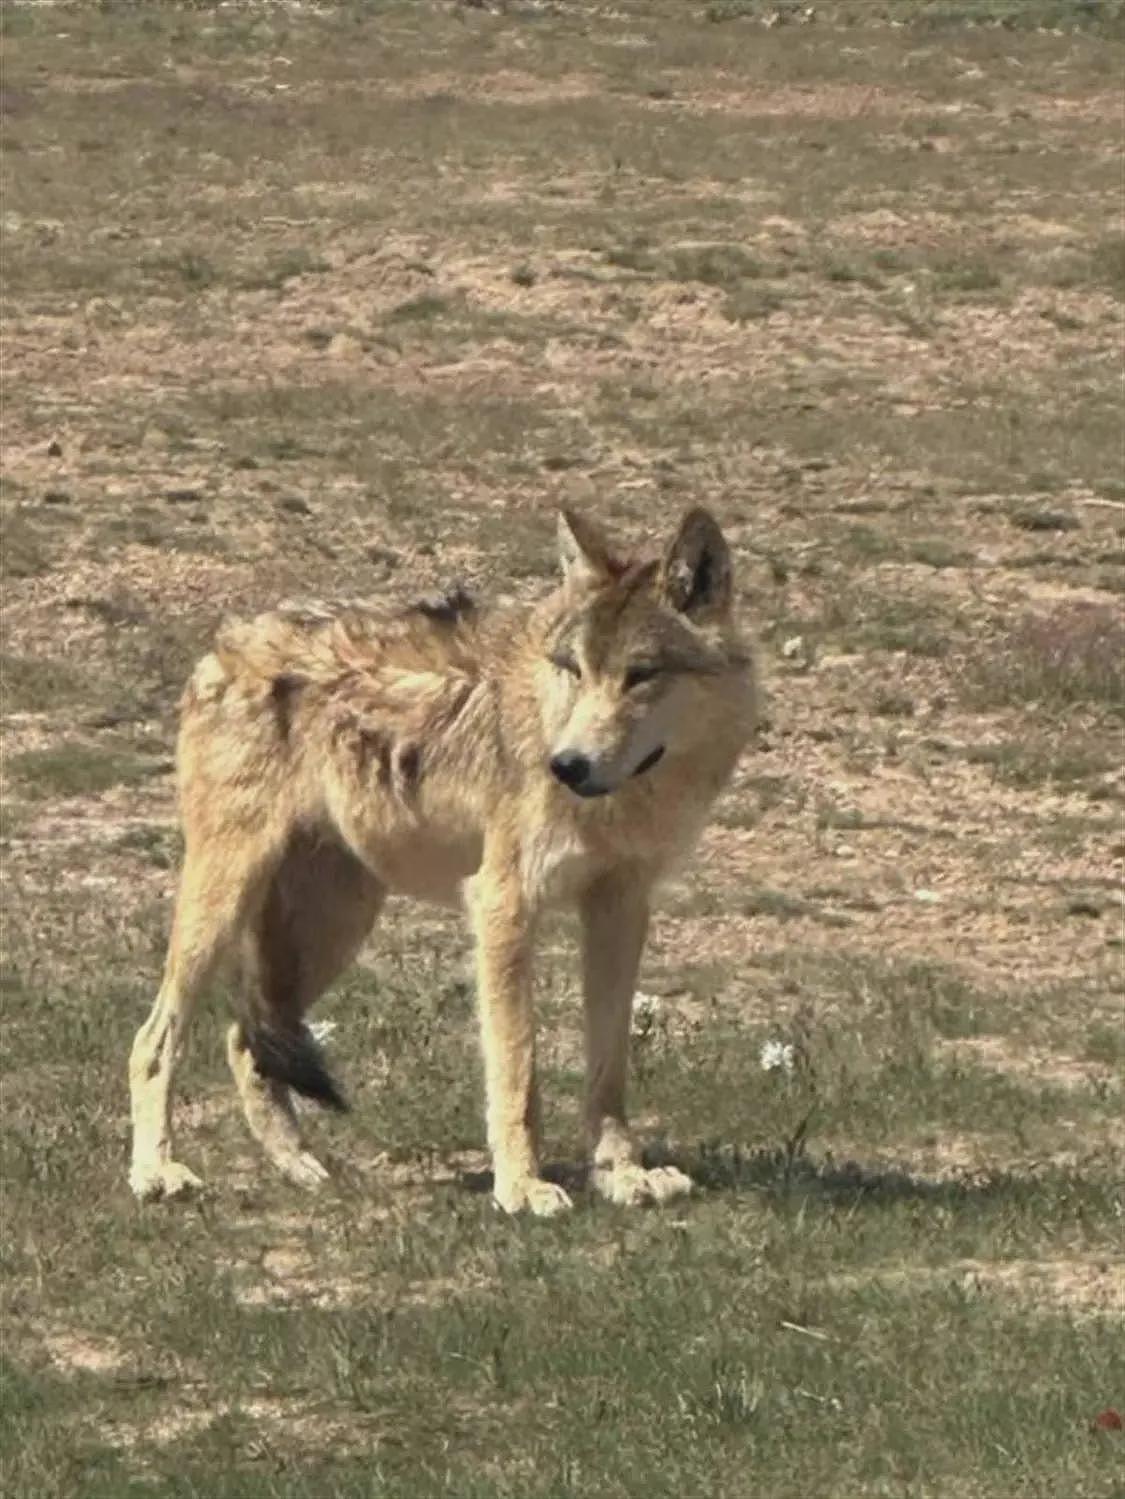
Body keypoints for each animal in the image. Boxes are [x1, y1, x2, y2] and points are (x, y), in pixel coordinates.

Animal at [127, 509, 760, 1211]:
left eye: (641, 674)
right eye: (574, 668)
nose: (566, 765)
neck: (626, 800)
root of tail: (224, 641)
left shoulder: (621, 908)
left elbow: (608, 1066)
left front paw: (621, 1173)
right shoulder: (502, 904)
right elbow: (518, 1068)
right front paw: (523, 1187)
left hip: (335, 927)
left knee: (245, 1040)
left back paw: (301, 1168)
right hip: (226, 902)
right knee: (154, 1039)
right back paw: (156, 1172)